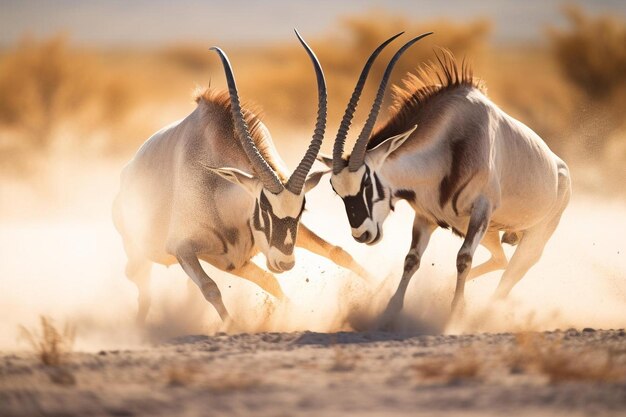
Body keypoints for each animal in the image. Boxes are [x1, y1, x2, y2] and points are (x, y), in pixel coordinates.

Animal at [112, 31, 366, 324]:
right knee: (143, 288)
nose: (285, 263)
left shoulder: (247, 252)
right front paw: (231, 326)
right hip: (150, 257)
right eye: (264, 208)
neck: (216, 186)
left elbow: (338, 252)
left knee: (268, 280)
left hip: (232, 260)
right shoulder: (183, 249)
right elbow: (210, 288)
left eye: (302, 209)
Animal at [320, 33, 568, 318]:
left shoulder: (481, 210)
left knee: (513, 271)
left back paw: (486, 312)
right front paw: (391, 310)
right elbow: (411, 259)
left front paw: (455, 312)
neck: (450, 141)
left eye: (367, 183)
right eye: (335, 189)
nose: (362, 235)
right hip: (488, 233)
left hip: (532, 235)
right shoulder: (426, 216)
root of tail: (560, 168)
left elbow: (463, 258)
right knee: (501, 259)